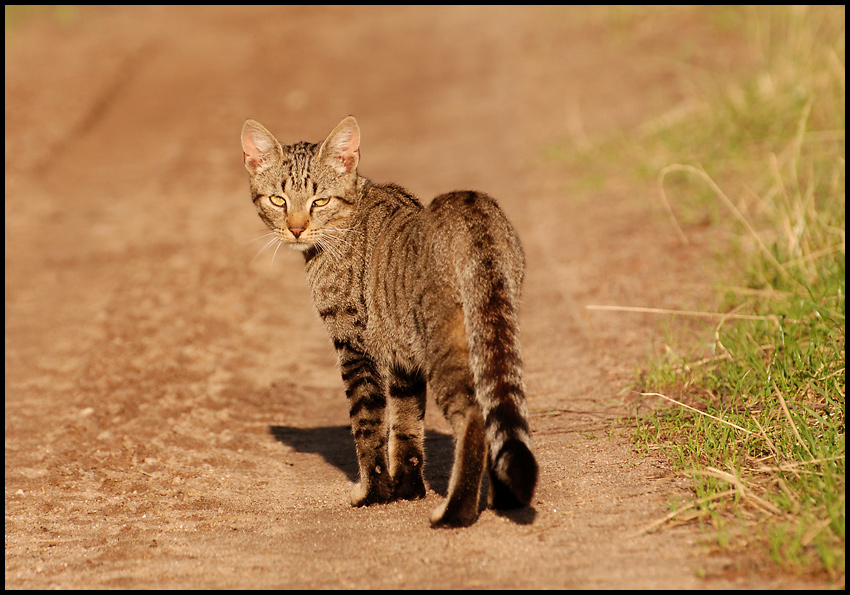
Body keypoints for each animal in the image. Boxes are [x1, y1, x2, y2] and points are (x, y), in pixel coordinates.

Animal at [238, 116, 536, 528]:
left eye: (320, 201)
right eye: (278, 200)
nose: (296, 229)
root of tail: (470, 208)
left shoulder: (353, 346)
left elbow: (368, 426)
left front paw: (373, 493)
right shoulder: (402, 359)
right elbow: (407, 428)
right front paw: (407, 489)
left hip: (443, 345)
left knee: (474, 416)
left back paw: (456, 511)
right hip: (491, 333)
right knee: (497, 408)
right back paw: (503, 498)